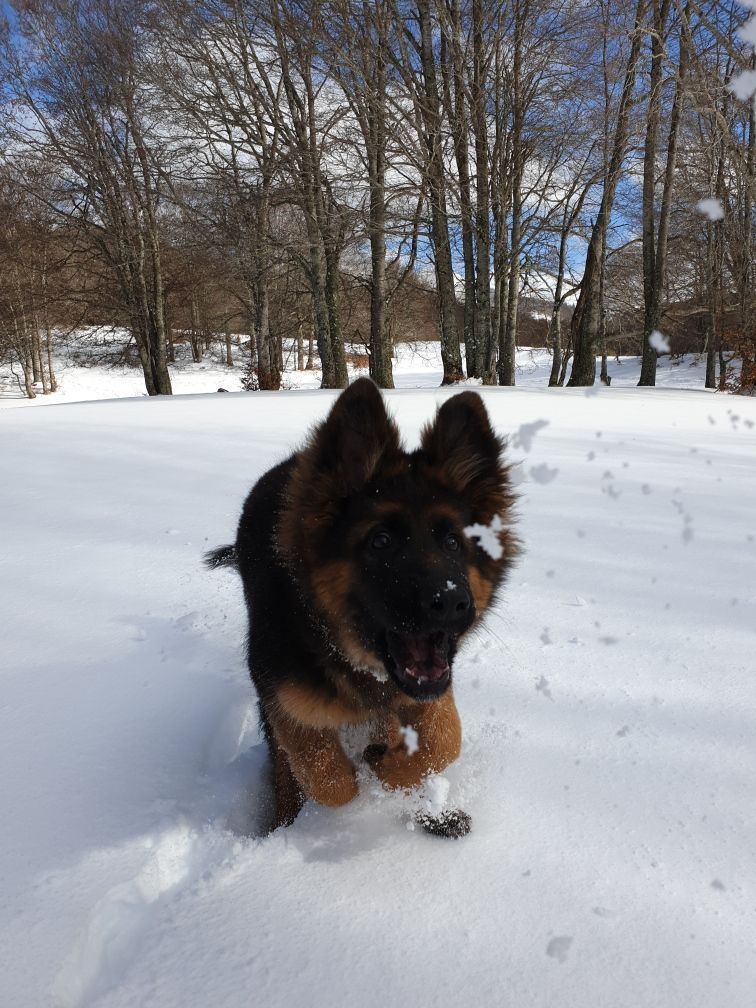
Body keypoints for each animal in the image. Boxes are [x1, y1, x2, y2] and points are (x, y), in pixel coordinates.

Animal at [204, 379, 520, 834]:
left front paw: (392, 770)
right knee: (283, 769)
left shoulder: (427, 687)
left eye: (453, 542)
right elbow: (327, 779)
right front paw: (360, 780)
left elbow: (445, 737)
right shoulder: (284, 700)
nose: (453, 603)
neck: (344, 654)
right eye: (381, 542)